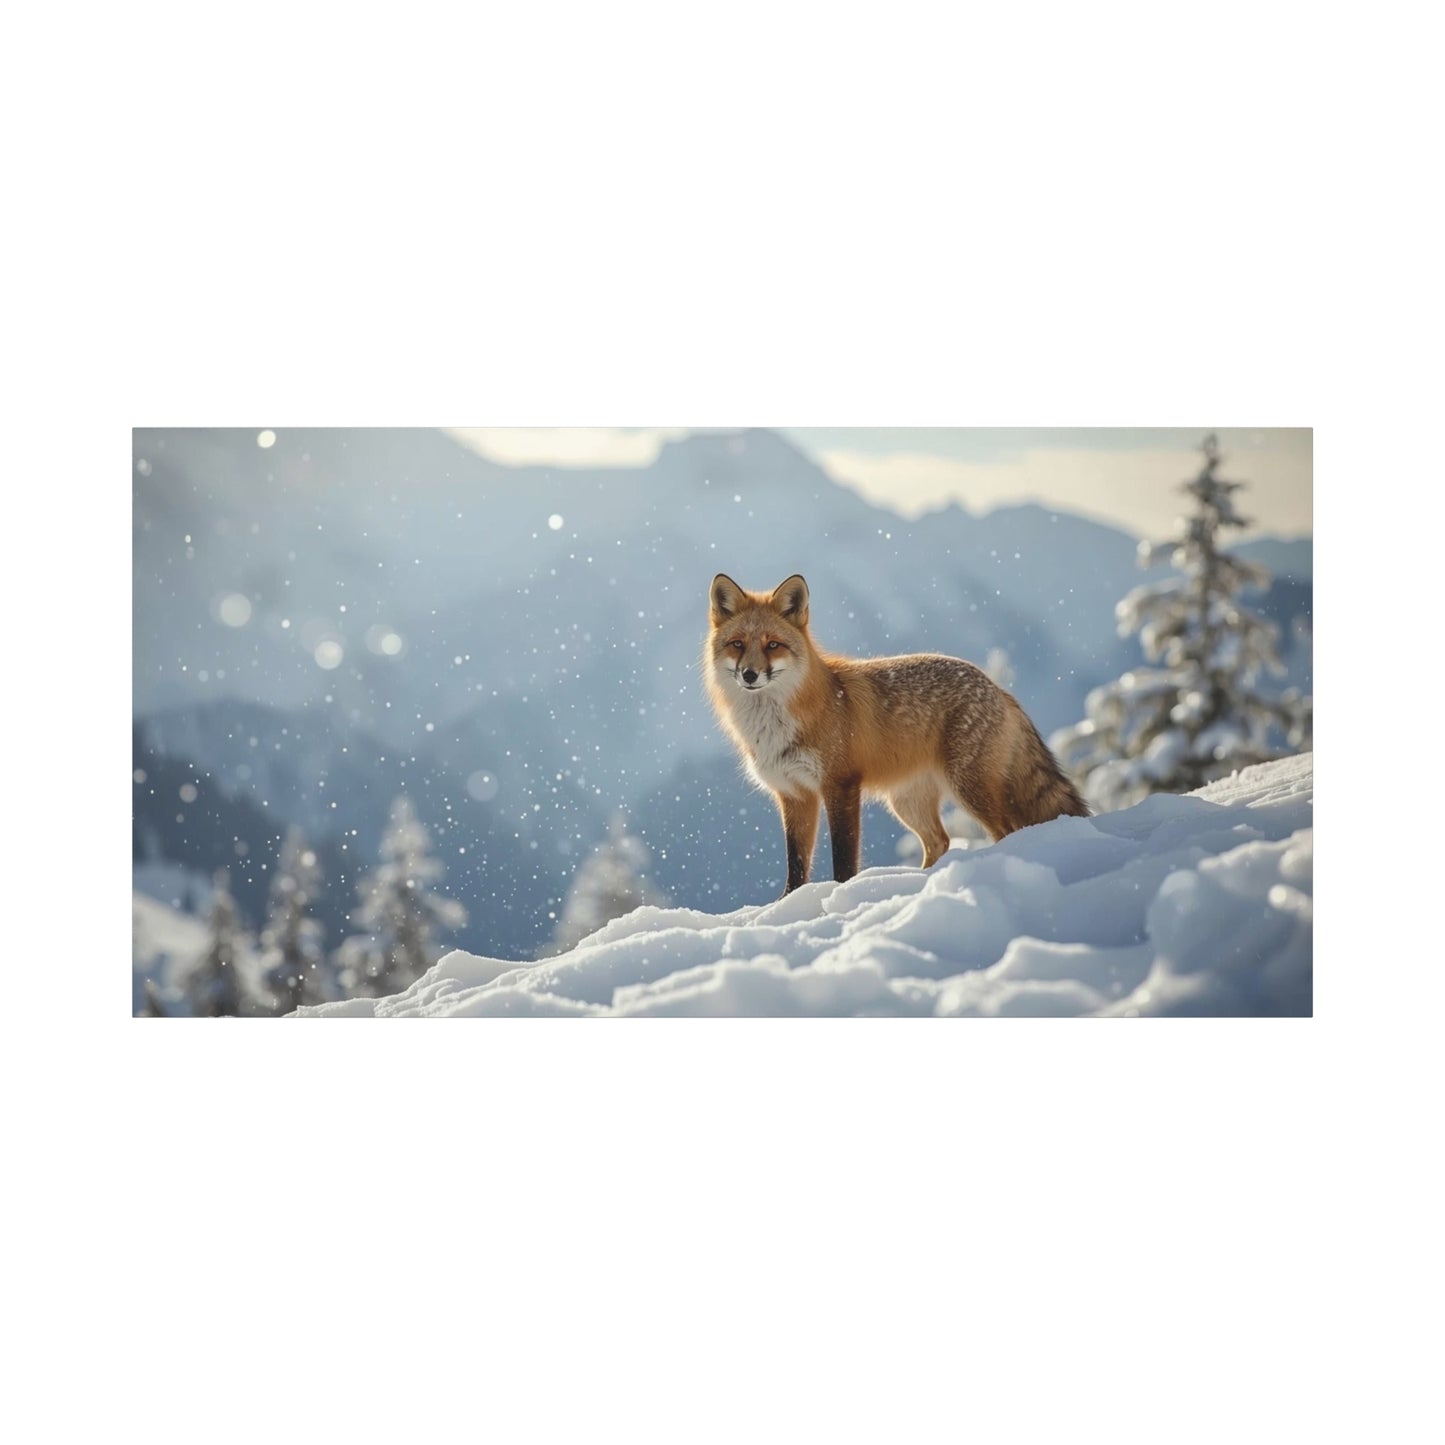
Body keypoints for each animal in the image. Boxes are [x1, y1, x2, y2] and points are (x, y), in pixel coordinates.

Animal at [704, 572, 1090, 896]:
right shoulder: (795, 795)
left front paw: (840, 899)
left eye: (773, 645)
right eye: (737, 644)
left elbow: (844, 859)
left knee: (1006, 831)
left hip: (968, 787)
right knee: (940, 841)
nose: (750, 675)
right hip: (907, 802)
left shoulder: (840, 784)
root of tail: (997, 686)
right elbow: (796, 865)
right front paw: (787, 905)